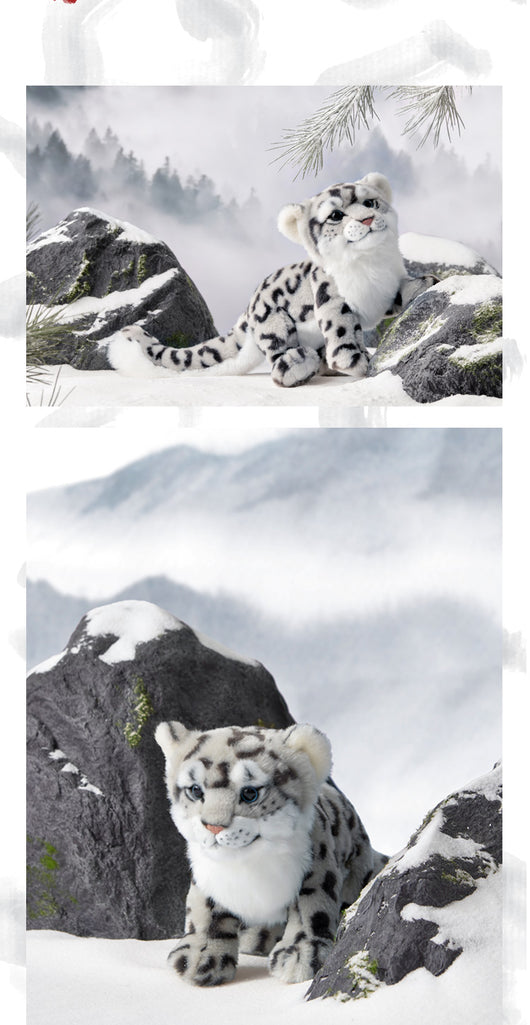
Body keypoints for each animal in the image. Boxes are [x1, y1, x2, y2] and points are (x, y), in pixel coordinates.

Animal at [123, 172, 436, 387]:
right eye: (336, 215)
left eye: (371, 202)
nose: (367, 219)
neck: (371, 264)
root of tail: (249, 307)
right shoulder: (333, 302)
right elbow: (343, 336)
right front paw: (359, 363)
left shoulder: (388, 289)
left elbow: (401, 291)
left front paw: (426, 281)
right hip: (275, 323)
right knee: (278, 358)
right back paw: (299, 364)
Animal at [155, 719, 386, 986]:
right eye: (195, 790)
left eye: (250, 793)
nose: (213, 826)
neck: (248, 869)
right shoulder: (207, 878)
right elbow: (205, 911)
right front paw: (197, 958)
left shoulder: (315, 868)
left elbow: (312, 908)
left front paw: (299, 955)